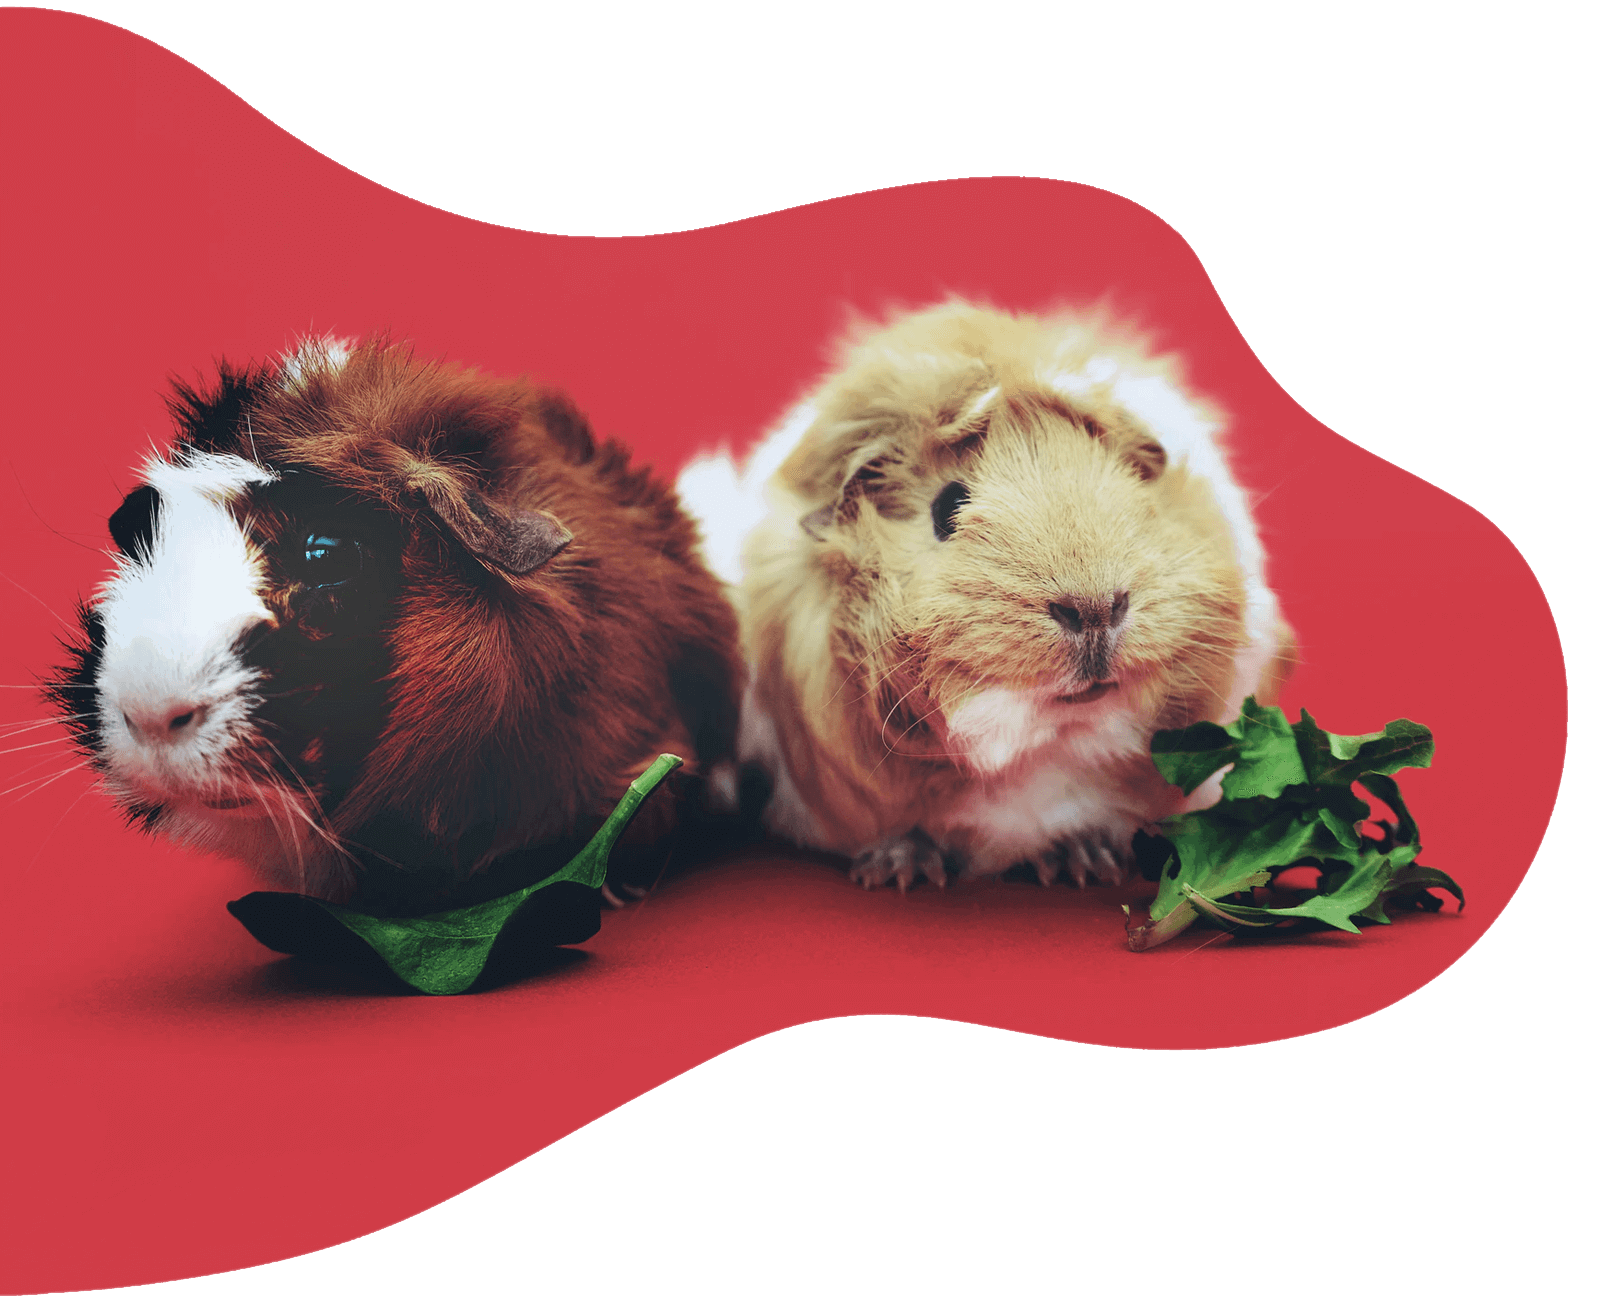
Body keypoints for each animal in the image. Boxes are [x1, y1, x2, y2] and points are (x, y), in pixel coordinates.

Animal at [677, 301, 1297, 891]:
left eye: (1133, 489)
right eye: (947, 508)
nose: (1096, 608)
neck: (1040, 743)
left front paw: (1084, 864)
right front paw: (901, 873)